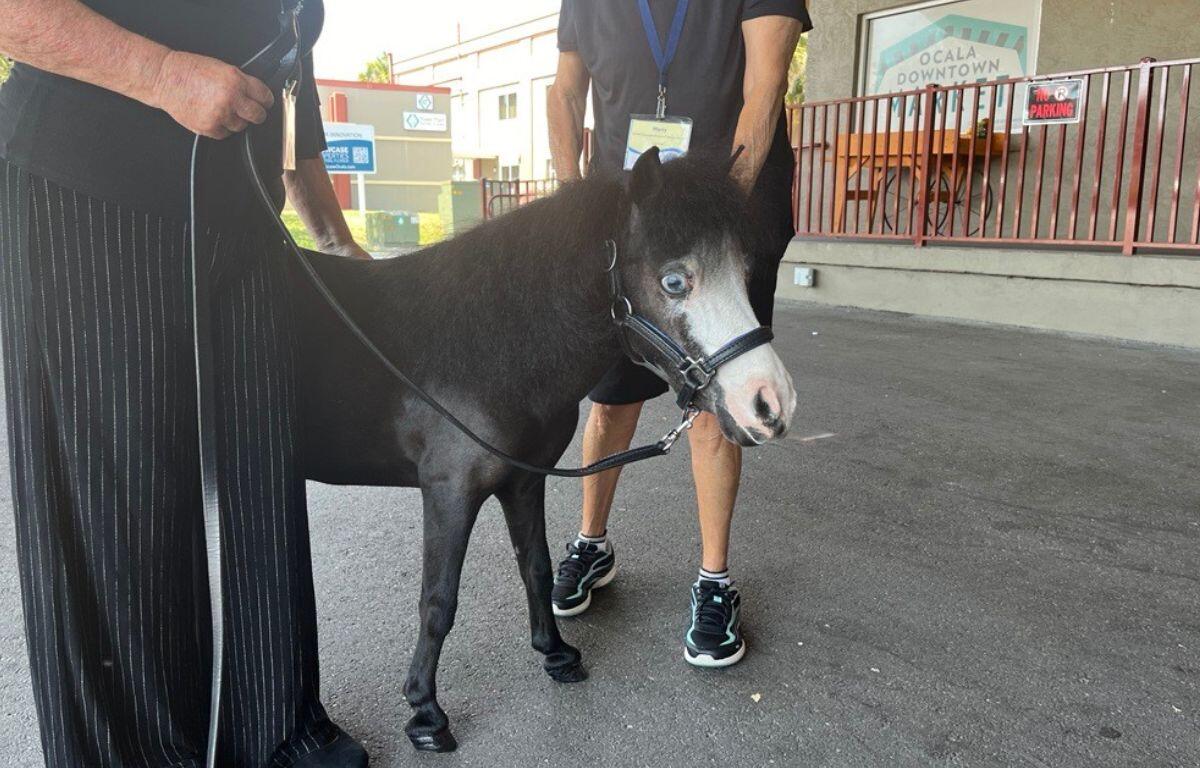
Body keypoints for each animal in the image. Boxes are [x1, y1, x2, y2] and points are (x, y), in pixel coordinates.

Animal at [287, 148, 798, 752]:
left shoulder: (523, 480)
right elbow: (438, 600)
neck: (493, 347)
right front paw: (425, 713)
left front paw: (555, 654)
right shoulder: (449, 490)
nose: (771, 404)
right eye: (674, 280)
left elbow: (535, 566)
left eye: (744, 274)